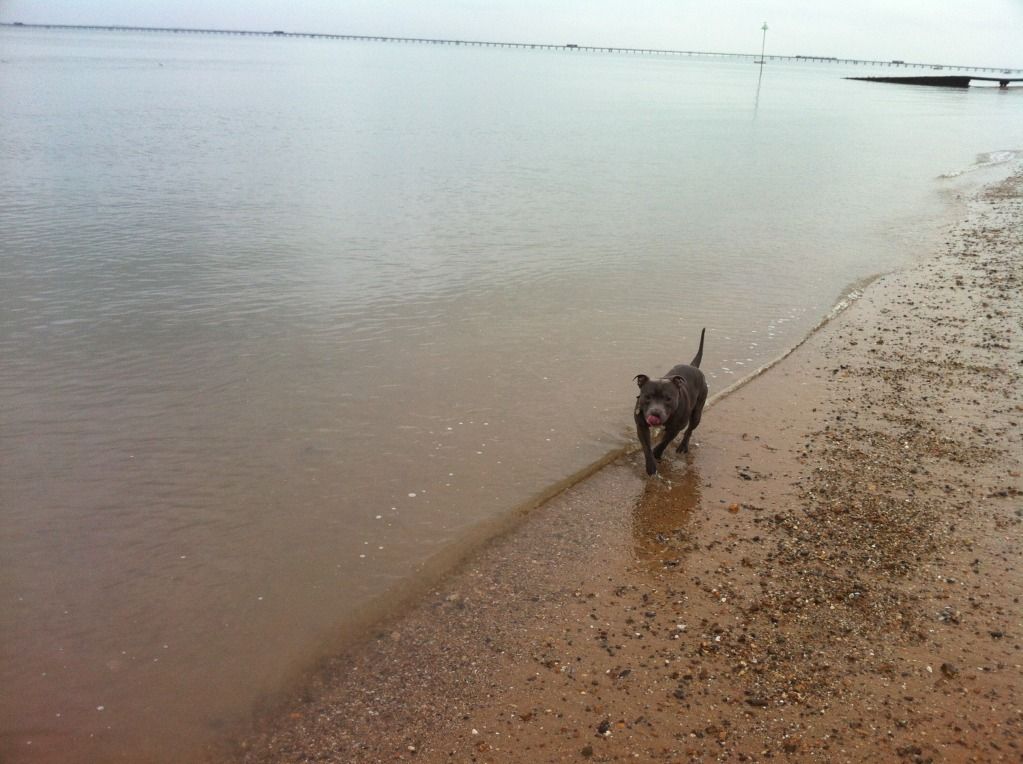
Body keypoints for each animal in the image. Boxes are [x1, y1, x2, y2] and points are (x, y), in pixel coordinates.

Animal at [626, 329, 707, 474]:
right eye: (647, 397)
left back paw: (683, 446)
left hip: (697, 412)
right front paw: (651, 465)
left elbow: (664, 442)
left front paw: (657, 454)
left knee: (689, 430)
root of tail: (693, 366)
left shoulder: (676, 428)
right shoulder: (641, 426)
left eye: (668, 399)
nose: (655, 413)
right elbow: (646, 446)